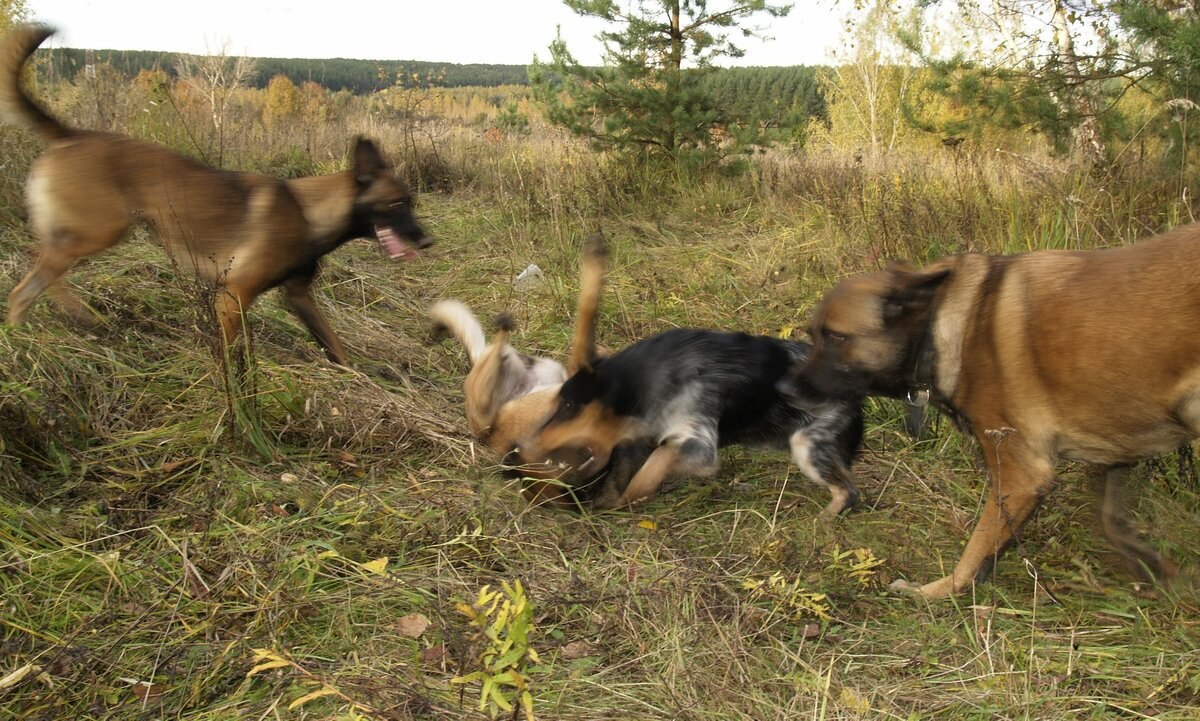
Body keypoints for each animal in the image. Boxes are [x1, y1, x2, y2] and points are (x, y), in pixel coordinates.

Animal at [0, 23, 432, 364]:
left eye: (411, 203)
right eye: (396, 204)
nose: (427, 242)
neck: (308, 212)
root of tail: (71, 135)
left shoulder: (299, 298)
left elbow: (336, 347)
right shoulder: (233, 296)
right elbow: (226, 352)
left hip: (83, 234)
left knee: (39, 272)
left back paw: (63, 321)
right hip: (99, 232)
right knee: (26, 285)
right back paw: (32, 334)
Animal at [782, 227, 1200, 599]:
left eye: (836, 336)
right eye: (812, 334)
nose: (784, 389)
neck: (944, 323)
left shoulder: (1019, 474)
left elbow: (977, 546)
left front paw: (938, 591)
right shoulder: (1114, 445)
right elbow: (1111, 516)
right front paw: (1153, 568)